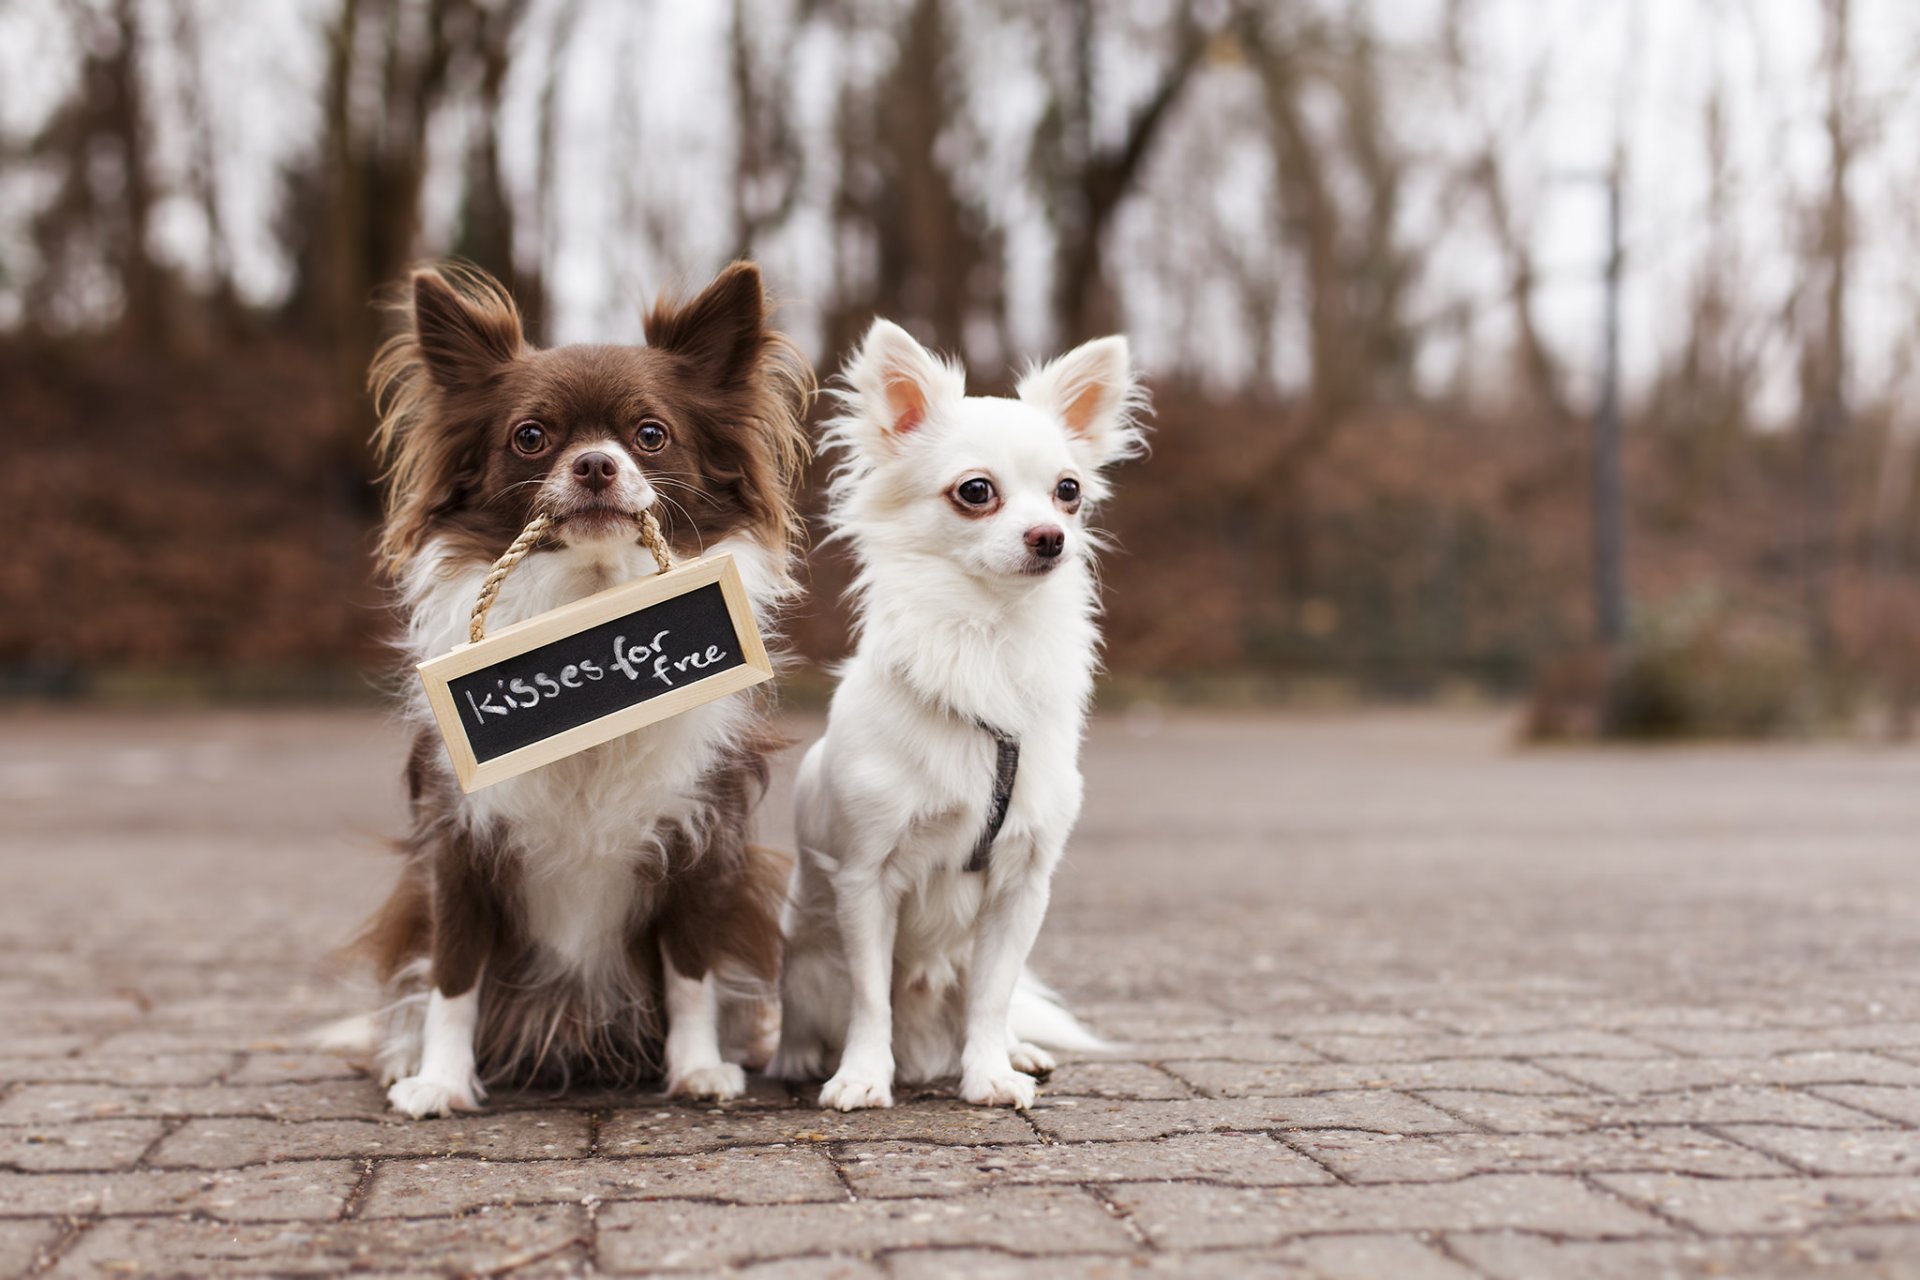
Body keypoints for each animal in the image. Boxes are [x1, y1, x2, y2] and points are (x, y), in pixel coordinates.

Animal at [345, 262, 810, 1120]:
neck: (589, 603)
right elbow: (452, 976)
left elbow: (690, 968)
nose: (595, 463)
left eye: (651, 435)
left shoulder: (702, 838)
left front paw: (699, 1068)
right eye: (531, 437)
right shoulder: (458, 845)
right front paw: (440, 1080)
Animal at [771, 320, 1144, 1113]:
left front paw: (990, 1075)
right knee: (804, 1001)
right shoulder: (865, 879)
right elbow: (870, 997)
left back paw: (1016, 1051)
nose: (1050, 536)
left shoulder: (1022, 886)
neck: (987, 638)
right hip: (807, 956)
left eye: (1069, 492)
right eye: (977, 491)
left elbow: (992, 995)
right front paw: (861, 1076)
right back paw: (798, 1057)